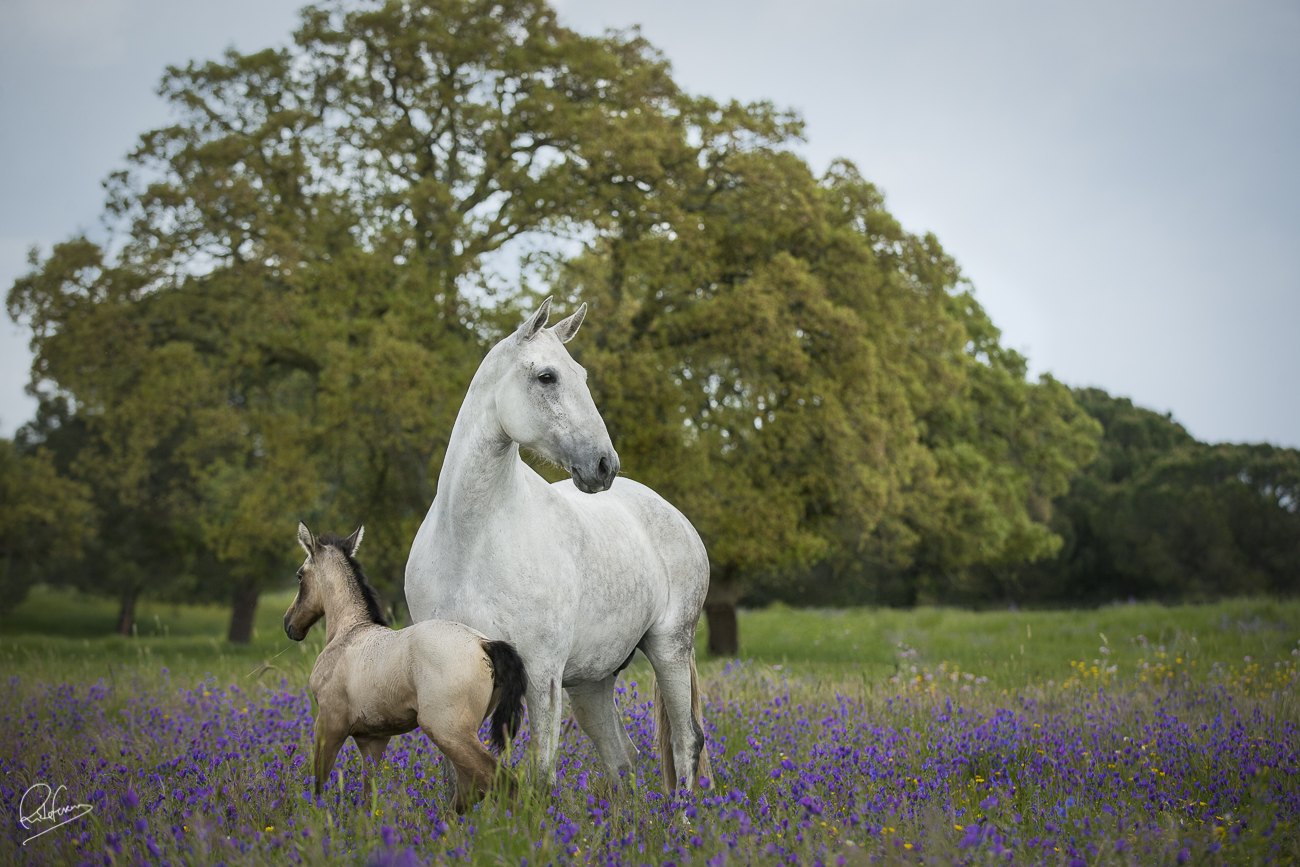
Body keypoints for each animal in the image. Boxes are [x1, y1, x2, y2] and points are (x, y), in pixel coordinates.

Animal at [284, 521, 527, 812]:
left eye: (300, 576)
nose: (290, 625)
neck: (350, 633)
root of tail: (483, 643)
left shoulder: (329, 723)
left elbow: (319, 781)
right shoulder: (372, 740)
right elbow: (368, 795)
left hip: (448, 732)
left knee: (500, 783)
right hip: (463, 734)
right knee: (471, 790)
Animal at [404, 297, 712, 792]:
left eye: (581, 375)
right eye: (547, 376)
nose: (604, 465)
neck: (471, 540)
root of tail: (673, 516)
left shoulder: (542, 673)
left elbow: (541, 775)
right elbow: (461, 772)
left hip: (669, 649)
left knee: (686, 742)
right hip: (592, 683)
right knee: (622, 761)